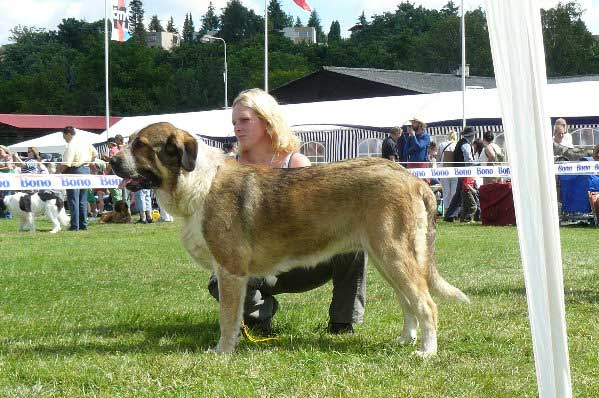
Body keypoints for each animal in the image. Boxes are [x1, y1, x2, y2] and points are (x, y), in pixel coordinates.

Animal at [110, 123, 472, 356]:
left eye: (141, 145)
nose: (111, 160)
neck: (195, 181)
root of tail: (411, 178)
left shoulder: (230, 271)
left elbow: (227, 318)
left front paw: (222, 352)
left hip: (393, 254)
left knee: (425, 304)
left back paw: (426, 352)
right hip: (386, 258)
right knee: (408, 302)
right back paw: (406, 340)